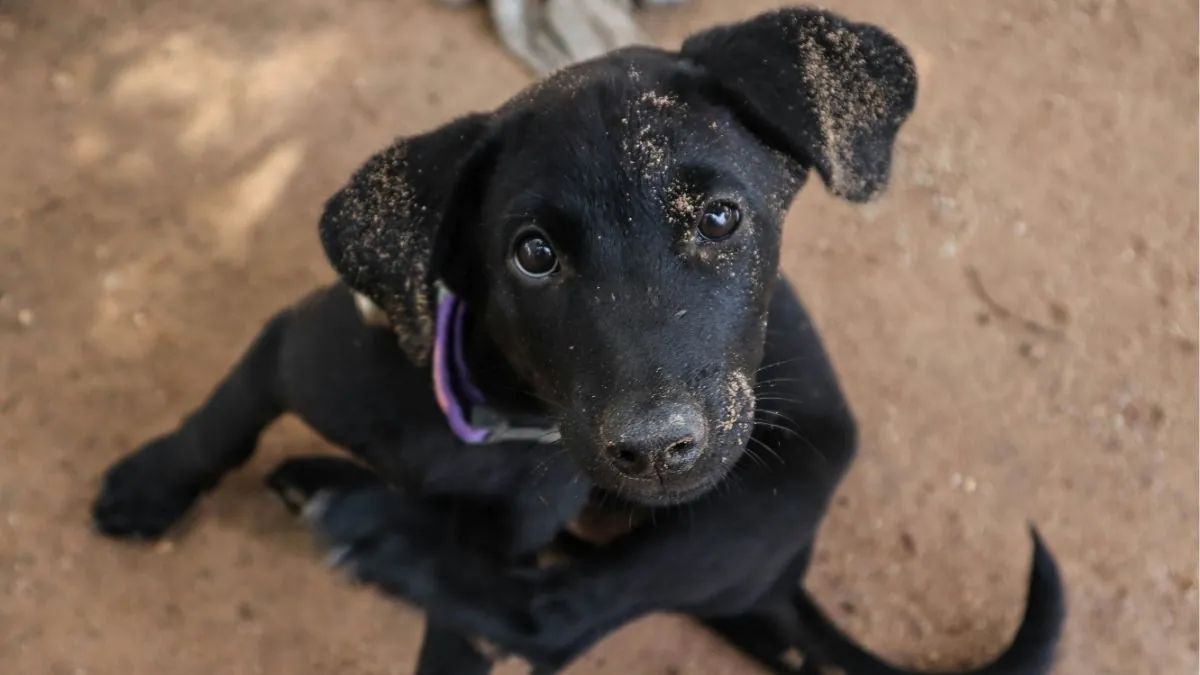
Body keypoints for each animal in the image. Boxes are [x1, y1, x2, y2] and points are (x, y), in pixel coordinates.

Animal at [96, 6, 1070, 672]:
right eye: (532, 254)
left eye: (720, 218)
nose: (656, 447)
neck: (490, 416)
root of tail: (783, 583)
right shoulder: (297, 346)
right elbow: (219, 420)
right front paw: (148, 486)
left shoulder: (511, 541)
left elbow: (479, 627)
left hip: (755, 504)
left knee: (559, 616)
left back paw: (380, 532)